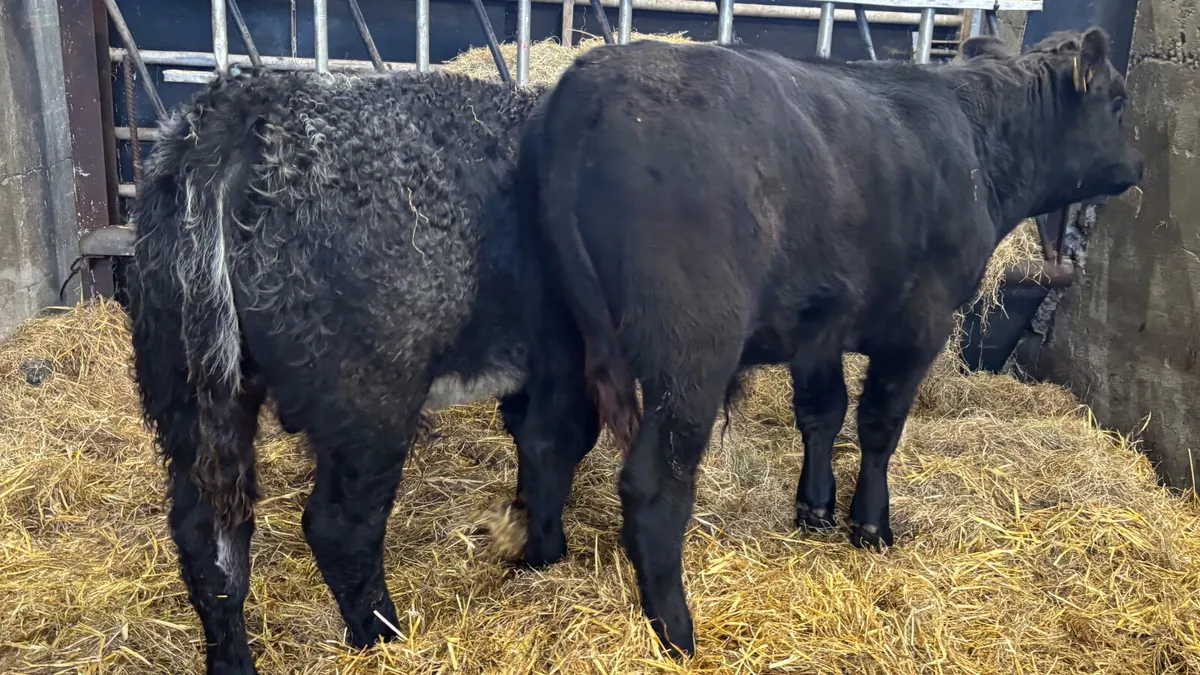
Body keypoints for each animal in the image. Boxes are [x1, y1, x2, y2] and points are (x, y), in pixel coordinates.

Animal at [127, 69, 599, 674]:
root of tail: (244, 104)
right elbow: (552, 447)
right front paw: (542, 552)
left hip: (186, 388)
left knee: (208, 538)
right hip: (370, 402)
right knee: (339, 528)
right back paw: (385, 636)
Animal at [518, 28, 1142, 657]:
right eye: (1117, 99)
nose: (1133, 166)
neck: (974, 140)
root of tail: (595, 75)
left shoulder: (818, 328)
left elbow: (822, 413)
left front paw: (814, 508)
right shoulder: (921, 323)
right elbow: (879, 425)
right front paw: (870, 524)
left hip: (560, 336)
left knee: (549, 438)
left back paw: (541, 556)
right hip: (690, 354)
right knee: (652, 481)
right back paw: (676, 631)